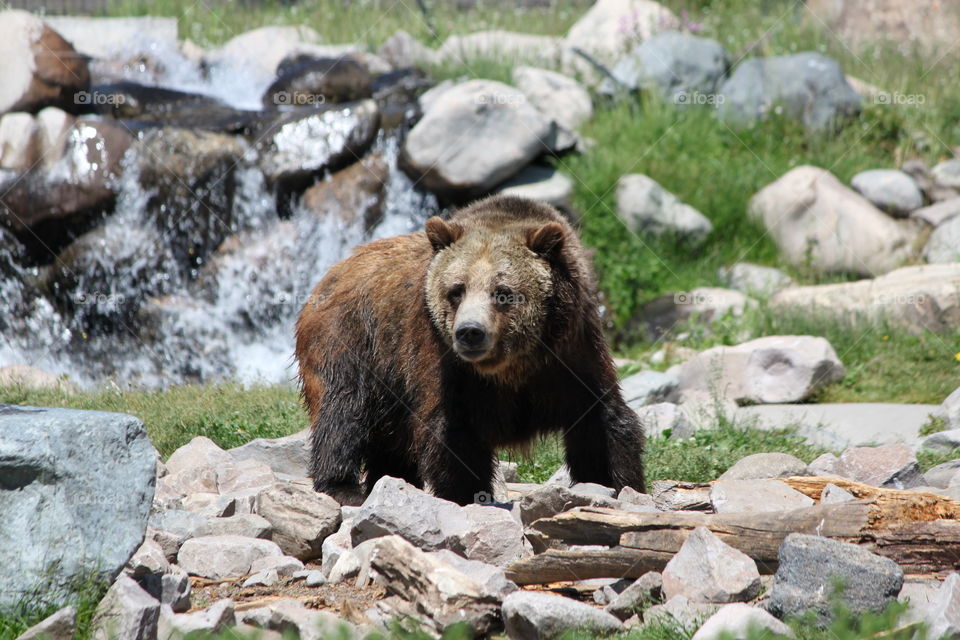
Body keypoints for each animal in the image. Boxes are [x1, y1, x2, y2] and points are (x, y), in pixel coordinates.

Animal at [295, 194, 645, 505]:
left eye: (503, 292)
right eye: (456, 290)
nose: (470, 332)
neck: (512, 366)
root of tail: (336, 268)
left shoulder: (571, 354)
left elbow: (600, 421)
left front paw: (615, 483)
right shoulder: (443, 365)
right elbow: (454, 437)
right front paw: (466, 495)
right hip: (355, 339)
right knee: (344, 408)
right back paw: (343, 486)